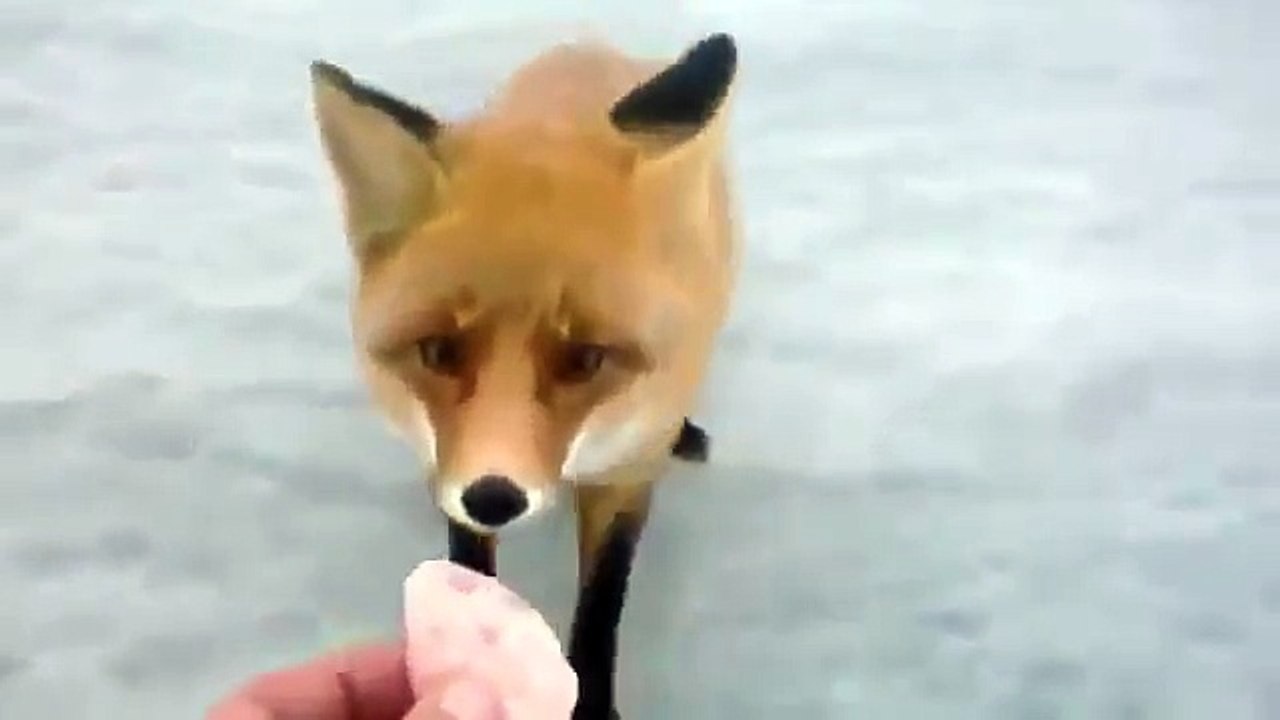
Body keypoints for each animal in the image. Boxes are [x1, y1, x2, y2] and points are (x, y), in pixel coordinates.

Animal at [308, 31, 740, 719]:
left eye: (586, 359)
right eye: (437, 350)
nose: (494, 497)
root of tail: (587, 43)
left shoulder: (626, 472)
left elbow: (601, 603)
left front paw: (592, 708)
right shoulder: (446, 461)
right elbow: (469, 563)